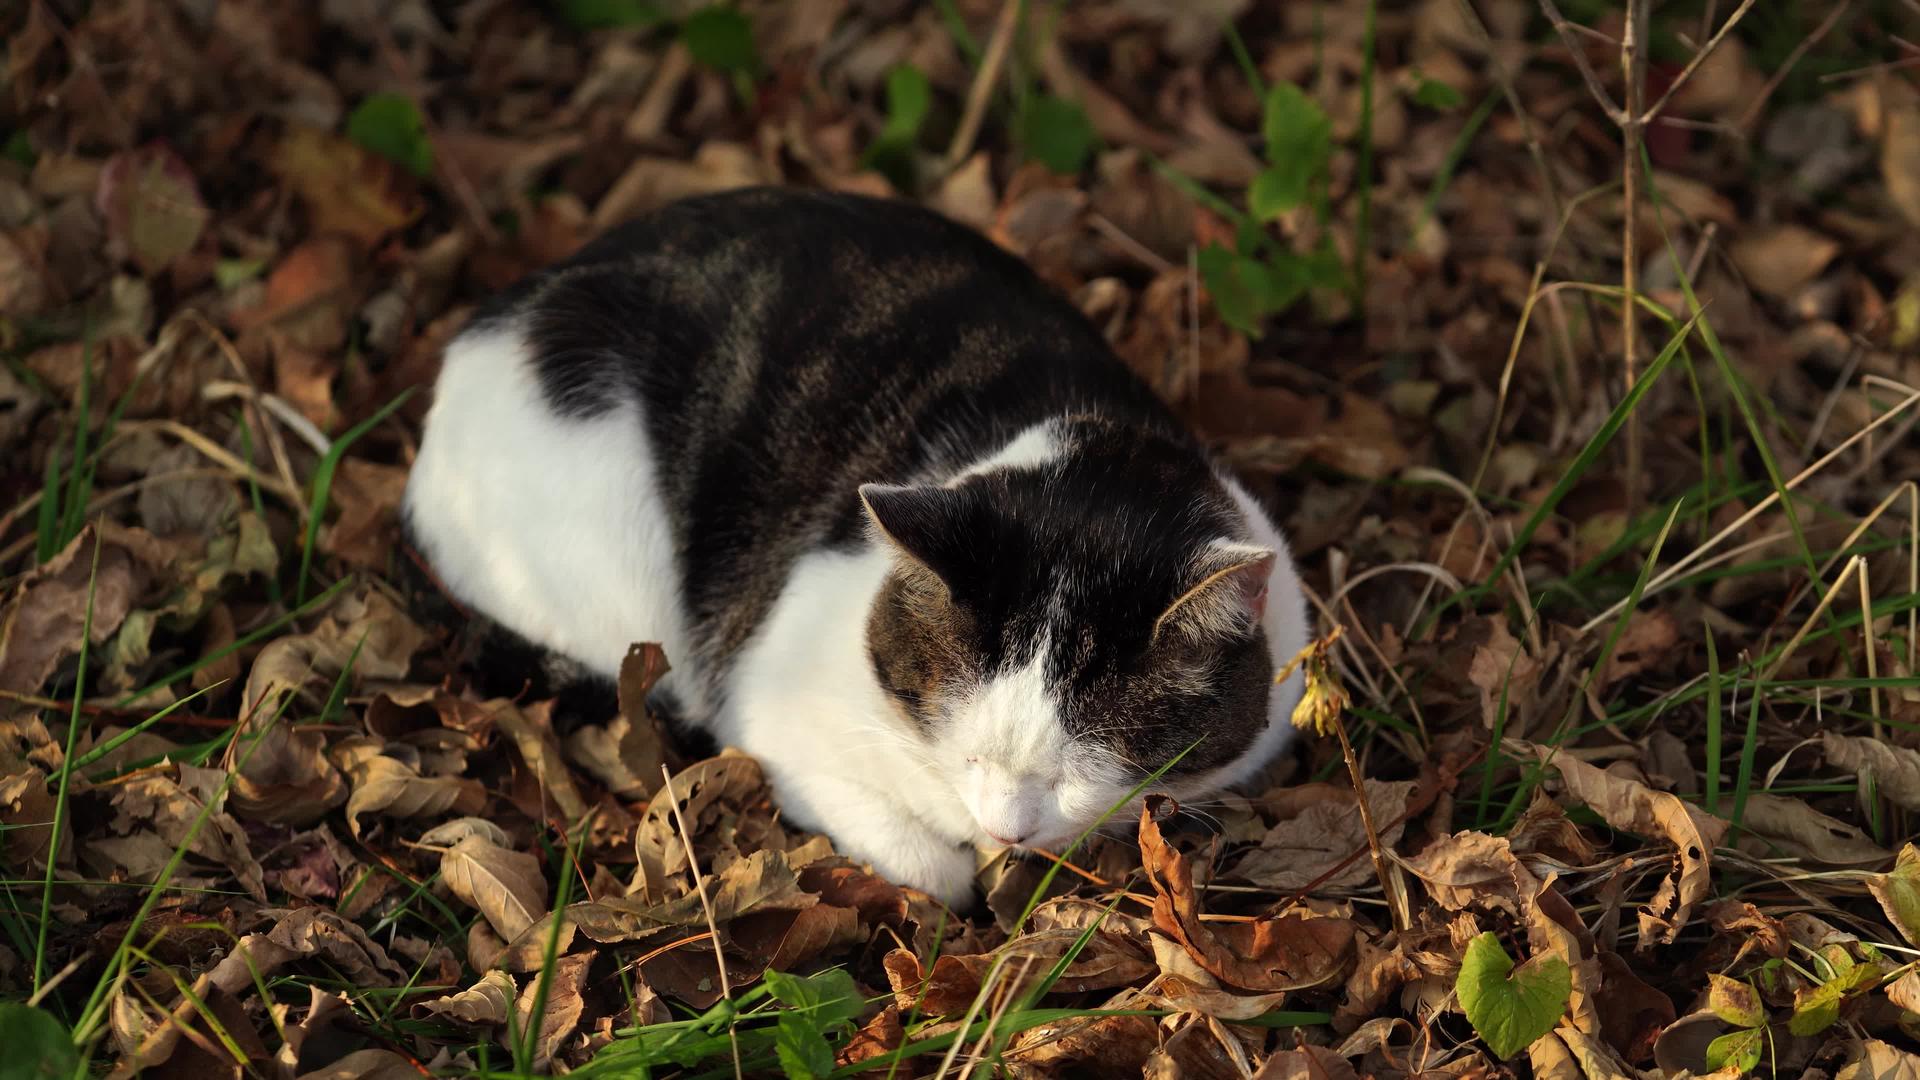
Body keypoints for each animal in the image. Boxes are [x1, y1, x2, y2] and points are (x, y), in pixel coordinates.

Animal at [399, 184, 1313, 899]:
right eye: (970, 752)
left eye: (1078, 772)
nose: (1007, 830)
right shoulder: (767, 689)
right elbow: (912, 852)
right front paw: (945, 865)